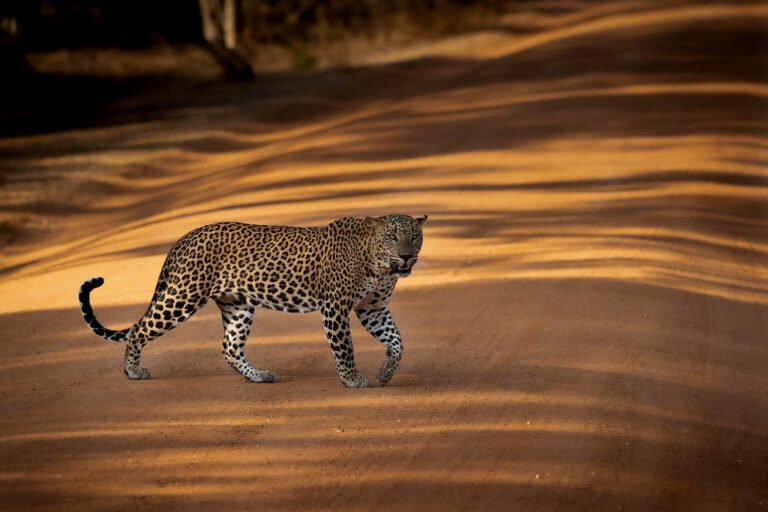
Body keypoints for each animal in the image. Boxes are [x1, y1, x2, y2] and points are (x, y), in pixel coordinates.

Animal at [79, 213, 426, 388]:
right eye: (393, 237)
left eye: (415, 236)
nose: (407, 256)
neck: (379, 263)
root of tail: (185, 237)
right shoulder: (336, 306)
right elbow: (344, 347)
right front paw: (352, 379)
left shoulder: (373, 308)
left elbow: (397, 341)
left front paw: (386, 373)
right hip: (184, 295)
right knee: (140, 328)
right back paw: (133, 371)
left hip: (237, 306)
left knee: (229, 347)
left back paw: (258, 375)